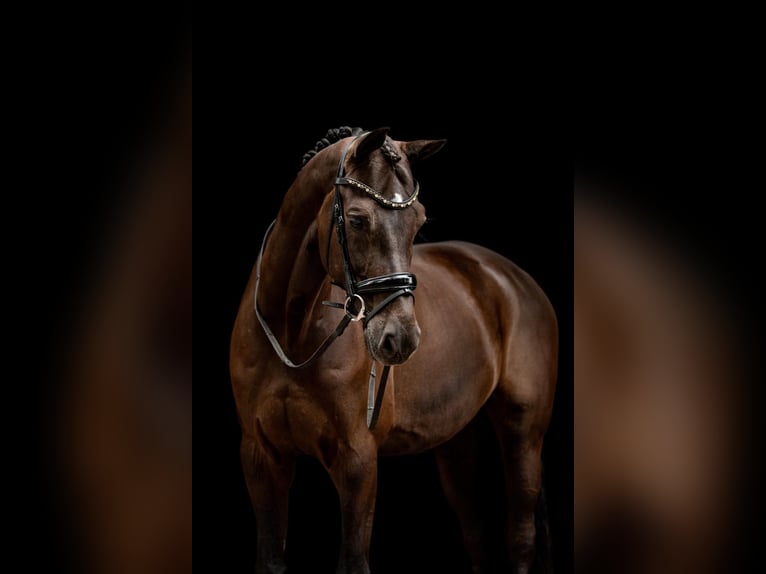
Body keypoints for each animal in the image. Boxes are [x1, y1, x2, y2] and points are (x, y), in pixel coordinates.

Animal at [230, 126, 558, 574]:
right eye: (356, 219)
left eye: (418, 220)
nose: (400, 339)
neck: (290, 333)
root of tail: (514, 278)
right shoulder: (262, 458)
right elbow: (270, 559)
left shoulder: (357, 460)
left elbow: (353, 560)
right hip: (458, 439)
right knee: (477, 535)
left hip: (523, 432)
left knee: (521, 537)